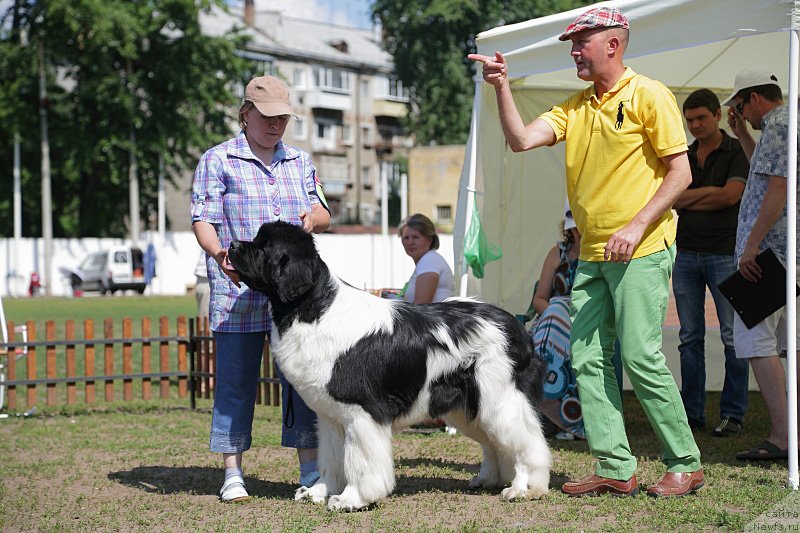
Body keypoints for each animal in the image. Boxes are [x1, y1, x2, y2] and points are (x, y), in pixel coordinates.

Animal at [225, 221, 552, 512]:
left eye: (264, 247)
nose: (231, 245)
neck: (313, 310)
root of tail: (516, 326)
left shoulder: (362, 412)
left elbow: (359, 461)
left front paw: (351, 499)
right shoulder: (330, 417)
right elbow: (331, 458)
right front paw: (318, 491)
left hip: (499, 398)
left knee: (527, 442)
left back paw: (523, 488)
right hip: (467, 406)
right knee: (494, 443)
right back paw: (488, 479)